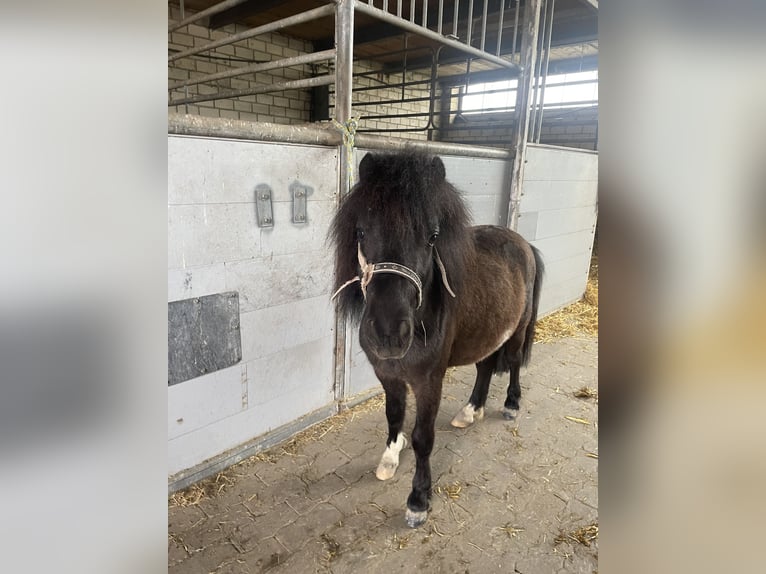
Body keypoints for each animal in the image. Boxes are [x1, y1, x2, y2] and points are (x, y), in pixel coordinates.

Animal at [330, 151, 544, 528]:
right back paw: (470, 411)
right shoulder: (388, 375)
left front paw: (418, 500)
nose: (388, 334)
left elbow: (422, 438)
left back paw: (511, 405)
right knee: (485, 367)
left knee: (515, 362)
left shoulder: (429, 380)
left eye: (432, 236)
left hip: (517, 330)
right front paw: (389, 458)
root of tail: (523, 243)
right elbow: (394, 415)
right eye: (360, 231)